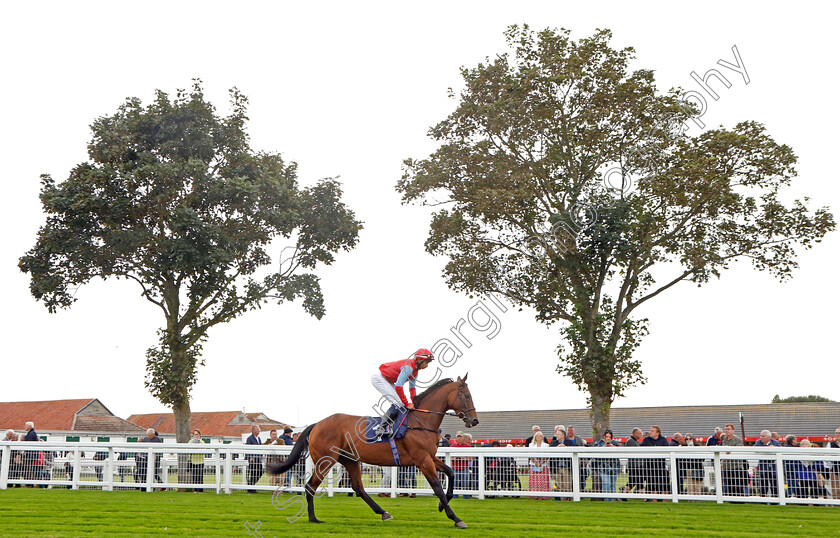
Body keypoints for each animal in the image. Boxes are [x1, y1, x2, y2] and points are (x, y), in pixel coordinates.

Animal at [270, 374, 480, 524]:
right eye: (466, 395)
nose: (474, 420)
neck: (421, 421)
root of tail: (317, 424)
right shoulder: (423, 460)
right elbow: (437, 487)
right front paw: (456, 518)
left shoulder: (429, 457)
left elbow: (451, 473)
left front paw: (441, 506)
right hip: (326, 460)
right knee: (310, 486)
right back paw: (313, 518)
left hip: (350, 460)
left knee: (358, 487)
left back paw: (383, 512)